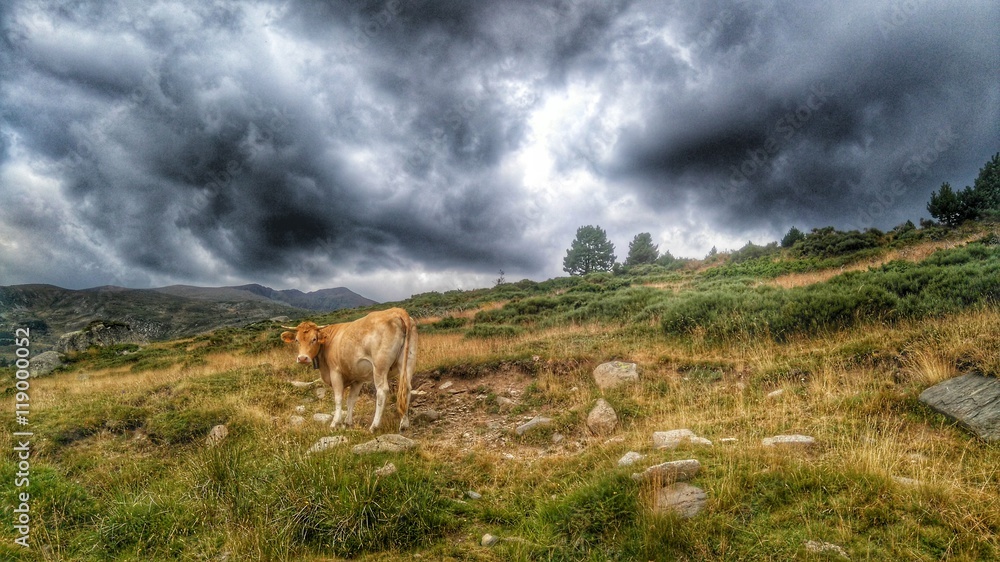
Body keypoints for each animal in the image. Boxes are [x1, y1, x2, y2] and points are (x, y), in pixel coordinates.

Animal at [280, 308, 417, 432]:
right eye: (297, 340)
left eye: (314, 339)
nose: (302, 358)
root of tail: (397, 310)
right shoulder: (358, 378)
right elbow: (351, 399)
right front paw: (348, 422)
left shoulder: (335, 372)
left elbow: (338, 398)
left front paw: (335, 422)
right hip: (408, 362)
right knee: (407, 388)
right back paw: (404, 424)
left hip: (380, 365)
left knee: (382, 391)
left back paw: (374, 426)